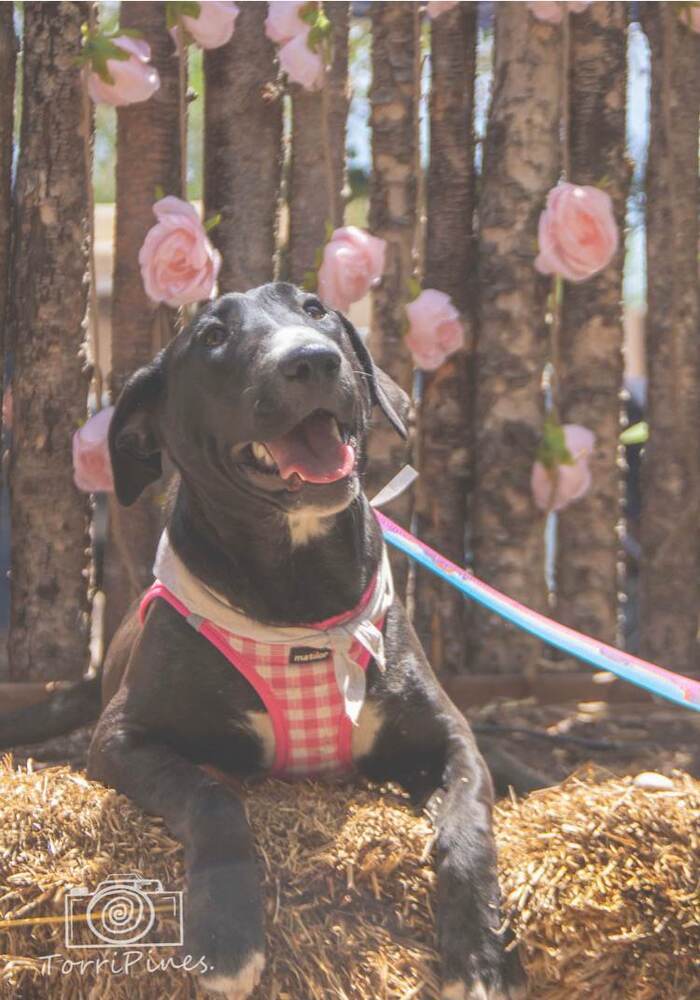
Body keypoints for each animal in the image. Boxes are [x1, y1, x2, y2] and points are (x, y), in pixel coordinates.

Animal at [79, 284, 524, 1000]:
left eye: (315, 310)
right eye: (212, 336)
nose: (313, 360)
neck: (302, 593)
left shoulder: (451, 736)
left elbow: (468, 820)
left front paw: (480, 951)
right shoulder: (121, 736)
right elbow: (213, 797)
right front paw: (226, 937)